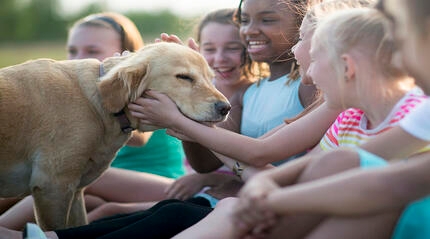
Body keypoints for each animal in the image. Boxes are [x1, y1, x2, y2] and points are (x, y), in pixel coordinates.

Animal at [0, 42, 232, 231]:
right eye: (184, 77)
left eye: (211, 79)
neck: (99, 104)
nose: (226, 108)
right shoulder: (52, 187)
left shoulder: (73, 191)